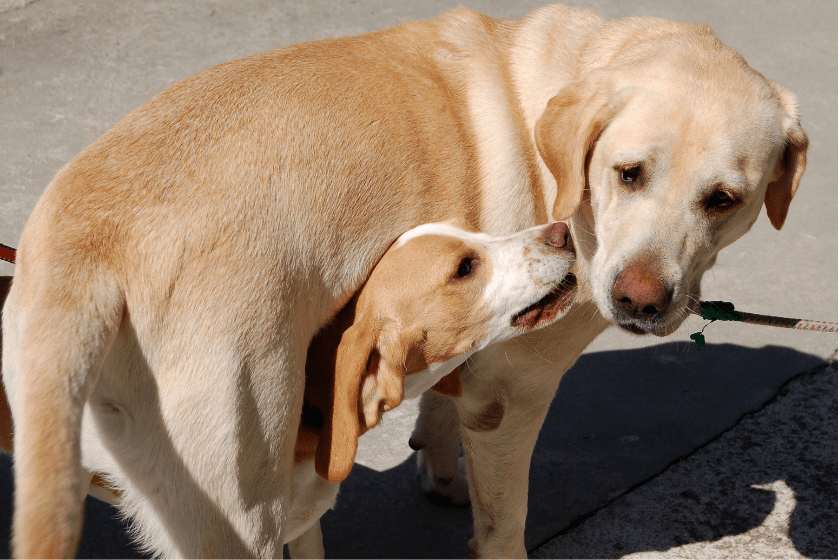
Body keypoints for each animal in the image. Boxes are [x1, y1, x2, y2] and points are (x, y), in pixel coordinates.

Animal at [0, 4, 808, 560]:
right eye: (628, 172)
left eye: (724, 200)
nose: (639, 300)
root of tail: (84, 238)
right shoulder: (514, 394)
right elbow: (504, 520)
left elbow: (446, 405)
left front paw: (440, 467)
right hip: (240, 511)